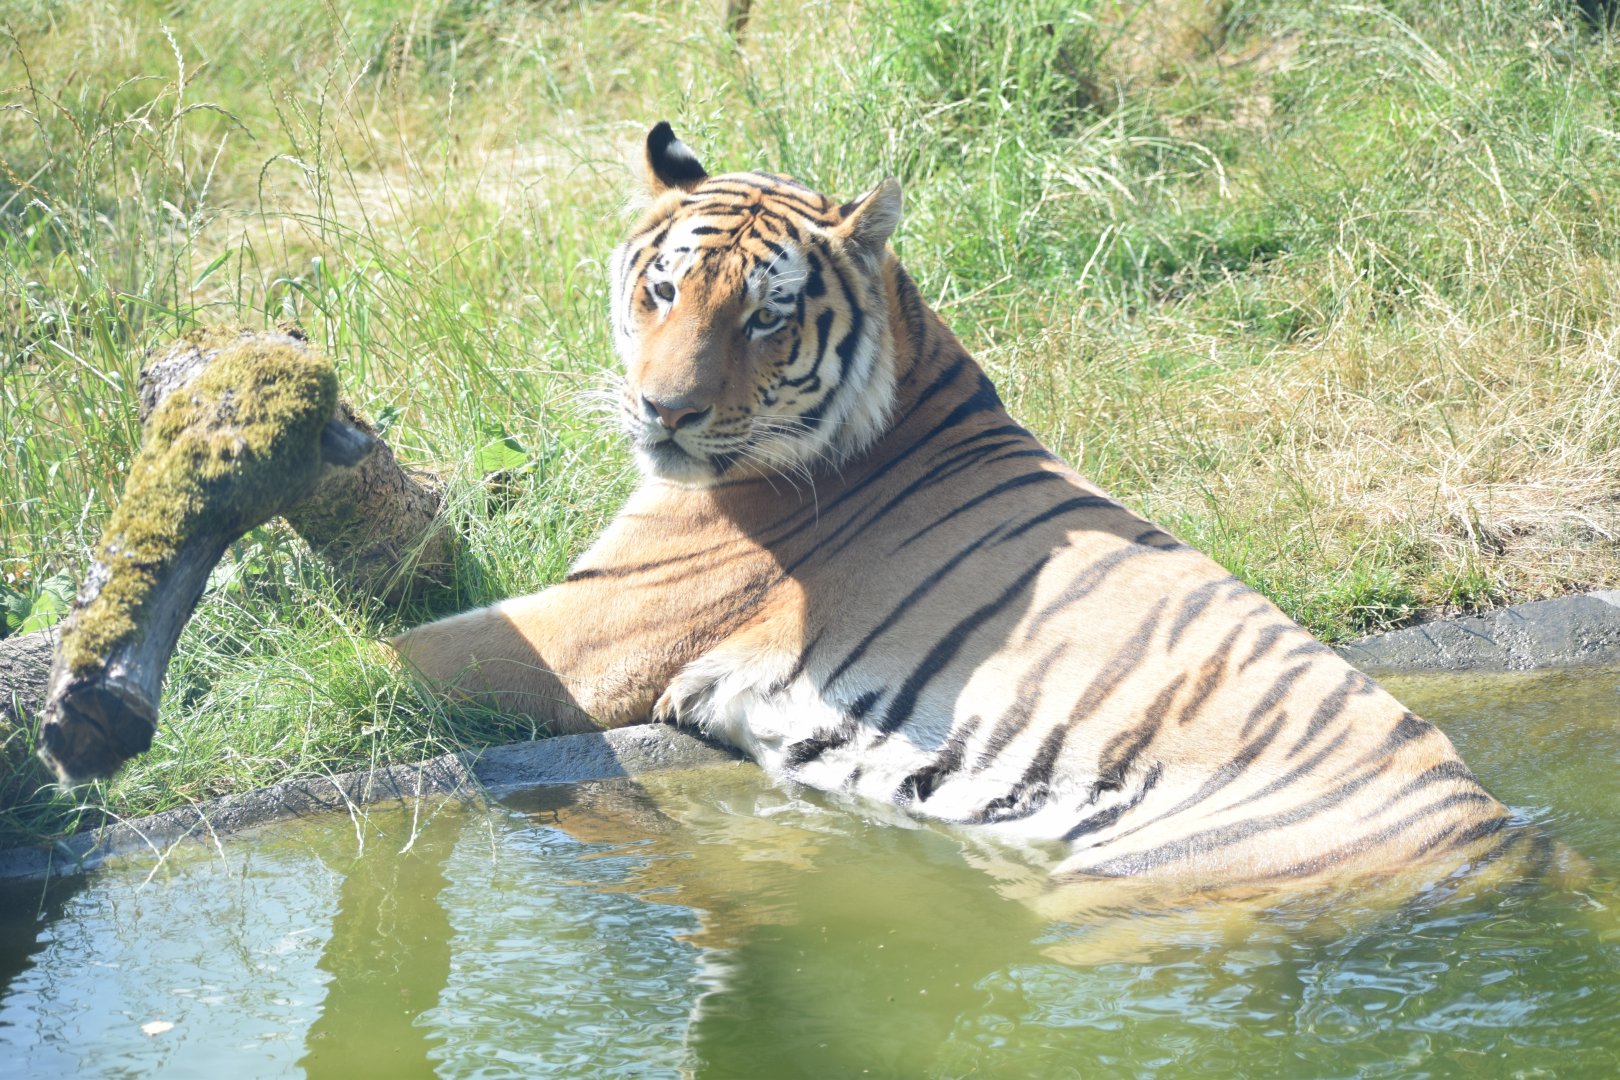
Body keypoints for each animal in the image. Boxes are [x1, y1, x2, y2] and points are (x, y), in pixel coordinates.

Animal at [392, 121, 1524, 887]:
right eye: (662, 291)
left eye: (764, 318)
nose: (664, 410)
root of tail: (1493, 829)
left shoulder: (588, 629)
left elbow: (388, 654)